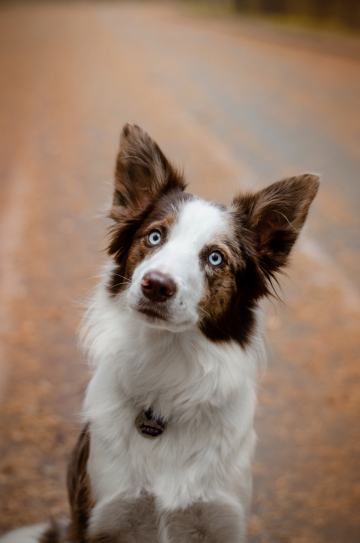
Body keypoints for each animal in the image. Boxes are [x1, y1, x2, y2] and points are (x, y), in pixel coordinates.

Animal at [0, 125, 320, 540]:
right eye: (154, 237)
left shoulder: (222, 521)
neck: (168, 371)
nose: (156, 285)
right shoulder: (98, 517)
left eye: (215, 257)